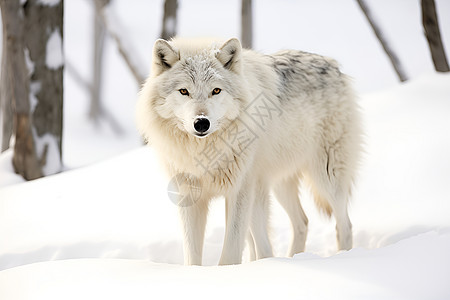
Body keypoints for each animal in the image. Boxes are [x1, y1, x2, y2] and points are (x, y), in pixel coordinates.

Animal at [137, 37, 362, 264]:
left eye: (215, 90)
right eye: (184, 91)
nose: (201, 123)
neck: (206, 151)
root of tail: (333, 64)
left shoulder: (240, 190)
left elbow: (231, 251)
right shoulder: (190, 195)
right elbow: (192, 256)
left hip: (326, 178)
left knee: (345, 225)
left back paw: (343, 257)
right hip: (275, 186)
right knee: (300, 223)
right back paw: (291, 259)